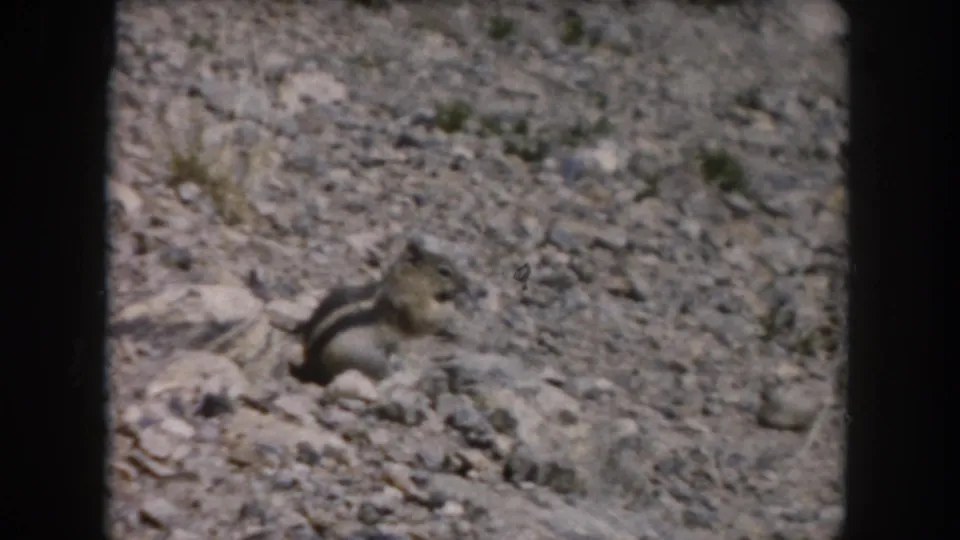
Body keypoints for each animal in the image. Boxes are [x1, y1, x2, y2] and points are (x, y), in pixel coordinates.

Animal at [291, 235, 470, 385]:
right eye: (444, 271)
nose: (464, 285)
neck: (409, 281)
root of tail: (309, 366)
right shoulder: (410, 306)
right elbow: (423, 323)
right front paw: (450, 307)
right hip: (364, 359)